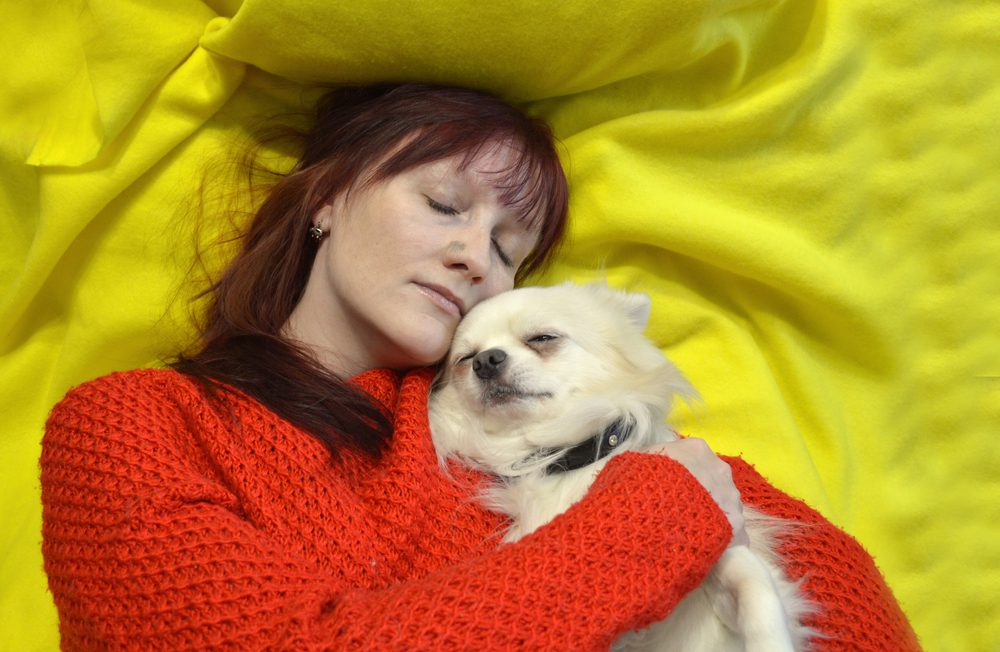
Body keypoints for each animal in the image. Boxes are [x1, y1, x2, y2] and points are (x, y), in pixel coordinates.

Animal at [432, 284, 820, 652]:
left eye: (542, 338)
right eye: (465, 359)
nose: (486, 360)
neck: (565, 455)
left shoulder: (724, 549)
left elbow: (757, 589)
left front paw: (771, 643)